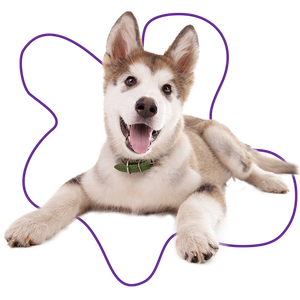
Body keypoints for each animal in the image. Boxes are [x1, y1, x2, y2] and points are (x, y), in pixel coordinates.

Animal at [3, 10, 298, 264]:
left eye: (166, 89)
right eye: (130, 81)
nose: (147, 106)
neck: (138, 169)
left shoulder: (206, 188)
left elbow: (192, 207)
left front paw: (193, 237)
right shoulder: (84, 182)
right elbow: (59, 200)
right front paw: (33, 221)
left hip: (219, 136)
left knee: (248, 167)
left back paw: (271, 180)